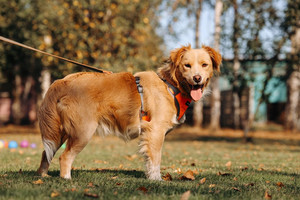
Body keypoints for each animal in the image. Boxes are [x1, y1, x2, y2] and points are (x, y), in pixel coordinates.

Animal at [37, 44, 220, 180]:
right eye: (187, 65)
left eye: (205, 65)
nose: (197, 78)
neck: (170, 85)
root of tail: (63, 80)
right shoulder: (155, 131)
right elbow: (156, 159)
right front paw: (157, 180)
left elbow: (149, 160)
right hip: (83, 131)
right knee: (64, 157)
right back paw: (66, 179)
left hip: (60, 132)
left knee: (46, 153)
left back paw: (42, 176)